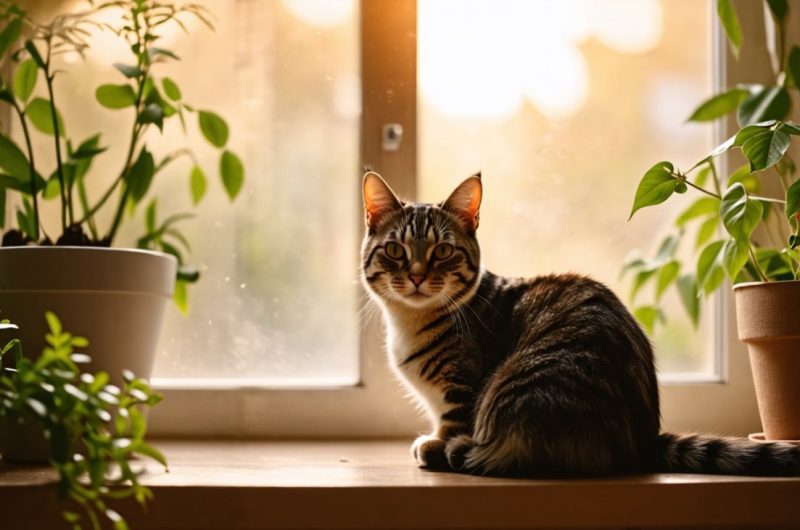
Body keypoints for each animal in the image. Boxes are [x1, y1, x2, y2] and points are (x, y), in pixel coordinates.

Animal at [360, 170, 800, 474]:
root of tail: (642, 440)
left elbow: (452, 422)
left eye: (443, 251)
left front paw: (435, 444)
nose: (417, 275)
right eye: (396, 250)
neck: (410, 322)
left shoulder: (462, 388)